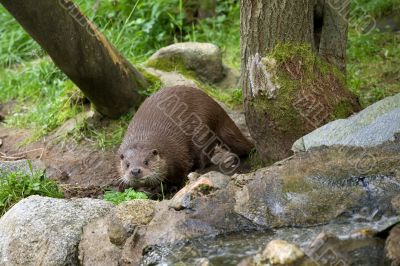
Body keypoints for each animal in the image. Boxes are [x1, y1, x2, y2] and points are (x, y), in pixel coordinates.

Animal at [117, 85, 252, 189]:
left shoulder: (179, 155)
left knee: (206, 153)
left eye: (146, 161)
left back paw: (199, 169)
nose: (135, 171)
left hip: (201, 130)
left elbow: (180, 175)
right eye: (127, 164)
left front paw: (171, 187)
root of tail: (216, 107)